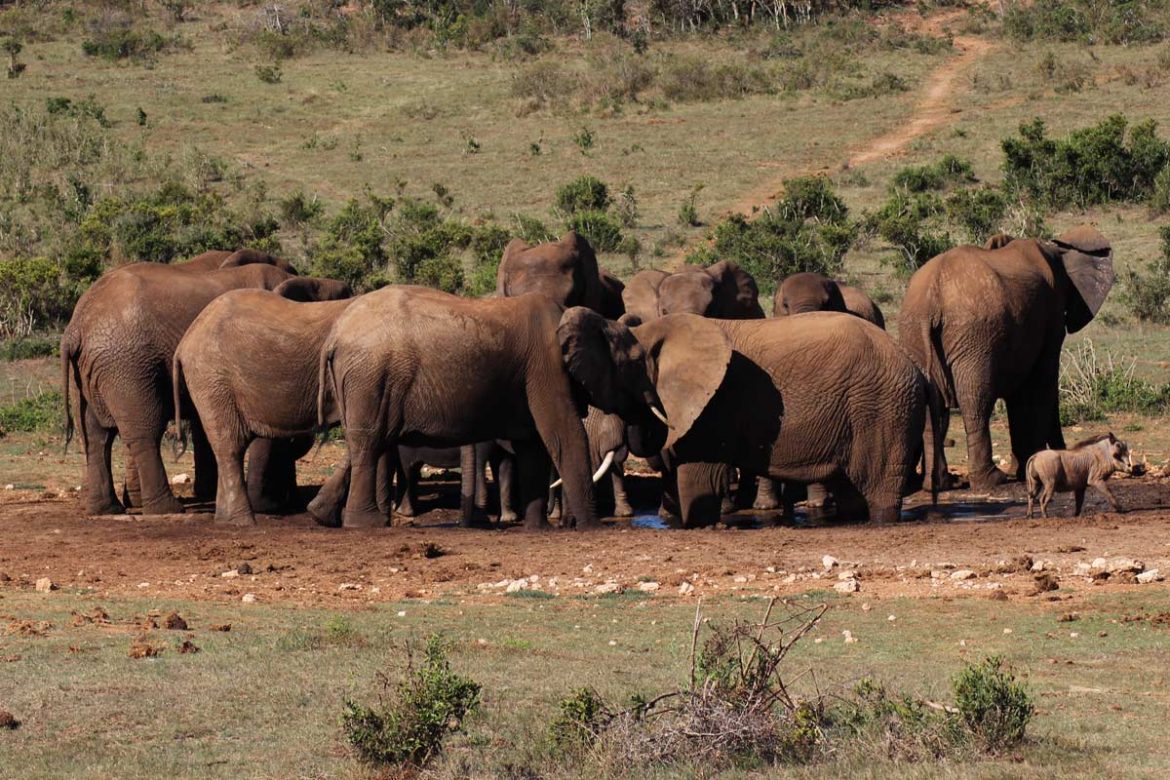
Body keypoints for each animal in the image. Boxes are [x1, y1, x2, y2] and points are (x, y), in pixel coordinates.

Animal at [62, 257, 298, 516]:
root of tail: (77, 325)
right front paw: (269, 506)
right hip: (126, 364)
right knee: (144, 431)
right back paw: (166, 509)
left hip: (92, 368)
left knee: (96, 433)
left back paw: (106, 509)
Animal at [315, 287, 659, 530]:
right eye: (636, 362)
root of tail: (334, 336)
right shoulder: (547, 368)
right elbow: (565, 435)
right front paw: (591, 527)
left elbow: (533, 447)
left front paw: (537, 529)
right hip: (370, 377)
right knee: (370, 444)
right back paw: (365, 524)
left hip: (360, 380)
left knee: (368, 443)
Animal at [557, 309, 942, 526]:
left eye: (632, 367)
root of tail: (916, 368)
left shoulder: (714, 404)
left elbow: (696, 477)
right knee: (850, 491)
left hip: (882, 409)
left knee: (878, 490)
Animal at [898, 225, 1114, 492]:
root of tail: (931, 297)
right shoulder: (1050, 317)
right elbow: (1041, 384)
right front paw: (1023, 472)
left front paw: (1022, 470)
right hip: (973, 337)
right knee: (976, 400)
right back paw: (991, 480)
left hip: (914, 334)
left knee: (933, 408)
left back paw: (940, 484)